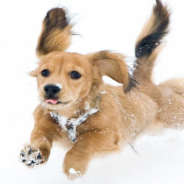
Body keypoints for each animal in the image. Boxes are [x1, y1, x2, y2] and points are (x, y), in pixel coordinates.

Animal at [19, 0, 184, 178]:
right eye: (44, 72)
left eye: (75, 74)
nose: (50, 88)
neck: (70, 118)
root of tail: (145, 83)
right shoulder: (42, 125)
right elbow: (40, 137)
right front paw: (33, 153)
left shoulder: (108, 134)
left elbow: (84, 141)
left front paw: (73, 165)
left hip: (175, 116)